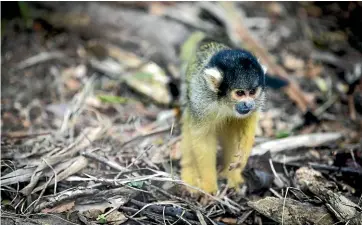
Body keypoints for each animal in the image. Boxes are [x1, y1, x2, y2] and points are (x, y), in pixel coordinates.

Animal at [179, 38, 266, 193]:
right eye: (240, 93)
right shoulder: (201, 102)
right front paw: (209, 185)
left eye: (252, 92)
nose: (249, 104)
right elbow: (202, 138)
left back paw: (231, 175)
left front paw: (241, 157)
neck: (225, 104)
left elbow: (248, 123)